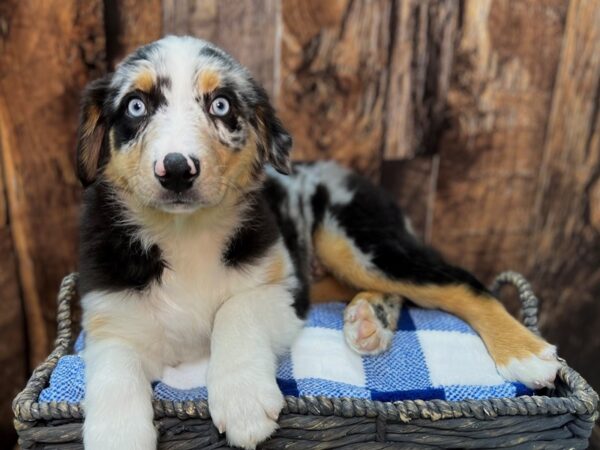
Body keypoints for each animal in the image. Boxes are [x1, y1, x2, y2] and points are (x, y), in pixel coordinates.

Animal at [77, 36, 560, 450]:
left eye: (221, 104)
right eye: (135, 106)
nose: (177, 169)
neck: (184, 231)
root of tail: (368, 185)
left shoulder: (284, 291)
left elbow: (235, 309)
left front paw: (242, 398)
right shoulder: (110, 314)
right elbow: (112, 366)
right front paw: (117, 434)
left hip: (352, 238)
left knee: (459, 281)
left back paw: (526, 352)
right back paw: (369, 320)